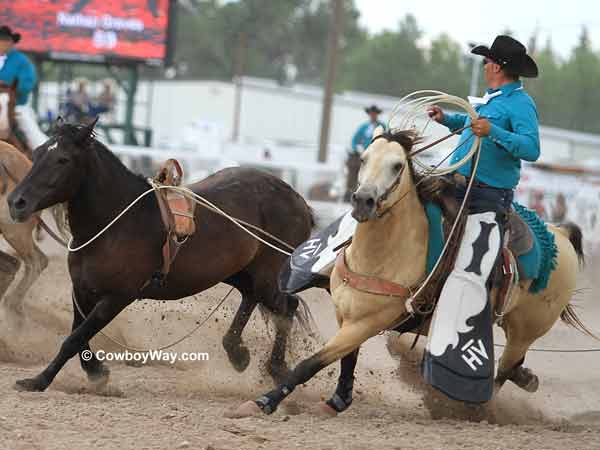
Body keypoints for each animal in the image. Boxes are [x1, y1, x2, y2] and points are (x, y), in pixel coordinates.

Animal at [7, 121, 314, 392]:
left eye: (63, 159)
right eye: (37, 153)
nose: (16, 202)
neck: (117, 222)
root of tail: (298, 199)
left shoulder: (118, 297)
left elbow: (74, 338)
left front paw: (38, 381)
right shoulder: (81, 291)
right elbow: (77, 335)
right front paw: (96, 371)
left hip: (268, 275)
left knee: (286, 307)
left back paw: (276, 368)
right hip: (240, 273)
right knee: (255, 300)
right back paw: (238, 353)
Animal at [229, 125, 592, 418]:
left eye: (397, 165)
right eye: (364, 159)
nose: (363, 201)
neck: (384, 255)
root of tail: (559, 233)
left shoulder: (368, 322)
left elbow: (311, 363)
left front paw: (263, 403)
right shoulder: (350, 314)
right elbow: (347, 359)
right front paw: (338, 400)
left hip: (524, 330)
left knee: (502, 371)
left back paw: (473, 408)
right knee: (512, 367)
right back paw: (526, 379)